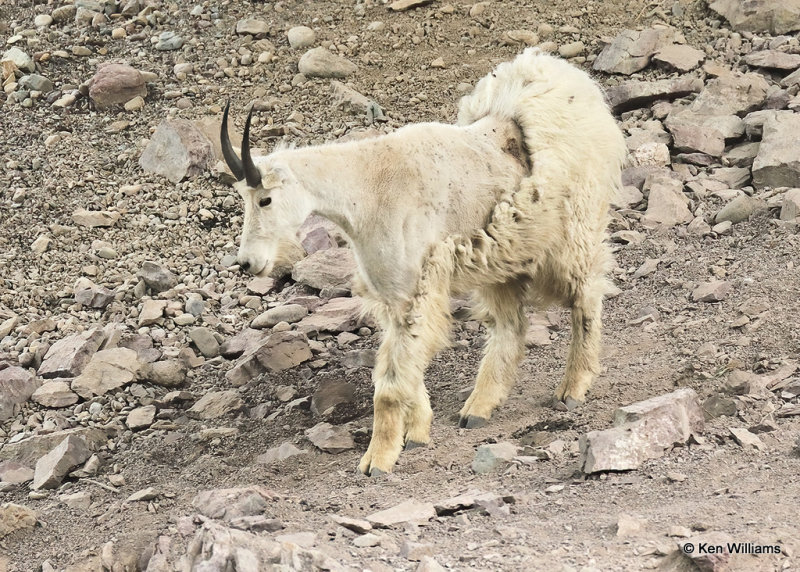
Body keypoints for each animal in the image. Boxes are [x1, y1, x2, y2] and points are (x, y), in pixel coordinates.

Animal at [222, 49, 628, 476]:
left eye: (265, 199)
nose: (248, 263)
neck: (368, 192)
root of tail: (575, 86)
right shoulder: (394, 296)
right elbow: (402, 366)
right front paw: (416, 433)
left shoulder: (416, 287)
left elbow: (390, 383)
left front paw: (378, 459)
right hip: (501, 259)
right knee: (510, 326)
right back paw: (478, 409)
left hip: (575, 228)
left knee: (586, 298)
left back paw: (572, 389)